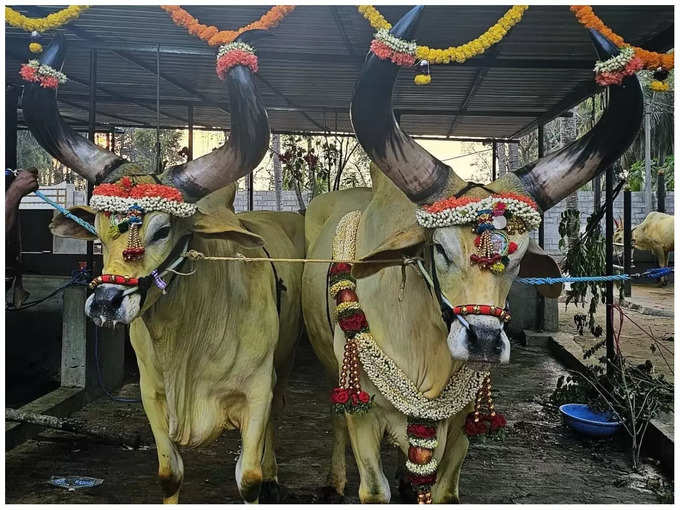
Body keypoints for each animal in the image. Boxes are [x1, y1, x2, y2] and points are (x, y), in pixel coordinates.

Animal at [23, 33, 302, 504]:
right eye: (101, 227)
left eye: (163, 230)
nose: (106, 303)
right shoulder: (152, 395)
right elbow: (170, 474)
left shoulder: (257, 392)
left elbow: (249, 477)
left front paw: (263, 475)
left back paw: (274, 470)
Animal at [302, 6, 644, 502]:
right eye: (440, 249)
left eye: (517, 257)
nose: (484, 342)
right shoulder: (363, 411)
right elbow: (373, 485)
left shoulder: (464, 422)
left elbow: (444, 485)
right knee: (334, 421)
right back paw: (333, 480)